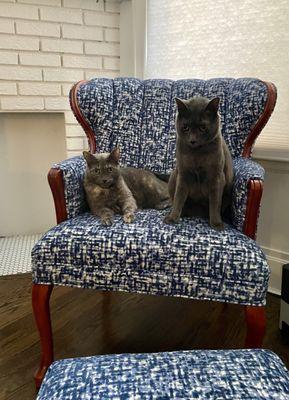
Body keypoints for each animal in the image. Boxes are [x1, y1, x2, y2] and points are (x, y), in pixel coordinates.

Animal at [163, 95, 233, 230]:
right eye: (186, 127)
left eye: (202, 127)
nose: (192, 140)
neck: (197, 155)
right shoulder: (183, 174)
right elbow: (179, 198)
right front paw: (172, 218)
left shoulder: (217, 177)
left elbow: (215, 202)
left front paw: (216, 223)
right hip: (174, 175)